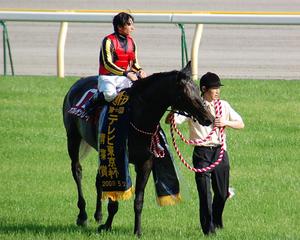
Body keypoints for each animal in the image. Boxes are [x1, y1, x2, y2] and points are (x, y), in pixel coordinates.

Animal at [62, 61, 214, 236]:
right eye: (185, 93)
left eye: (197, 89)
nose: (209, 118)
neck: (138, 118)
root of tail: (77, 83)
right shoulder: (119, 158)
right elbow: (114, 200)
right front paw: (107, 226)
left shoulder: (145, 162)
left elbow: (139, 200)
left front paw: (137, 231)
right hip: (73, 138)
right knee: (77, 171)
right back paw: (82, 215)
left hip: (102, 149)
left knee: (99, 178)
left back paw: (98, 215)